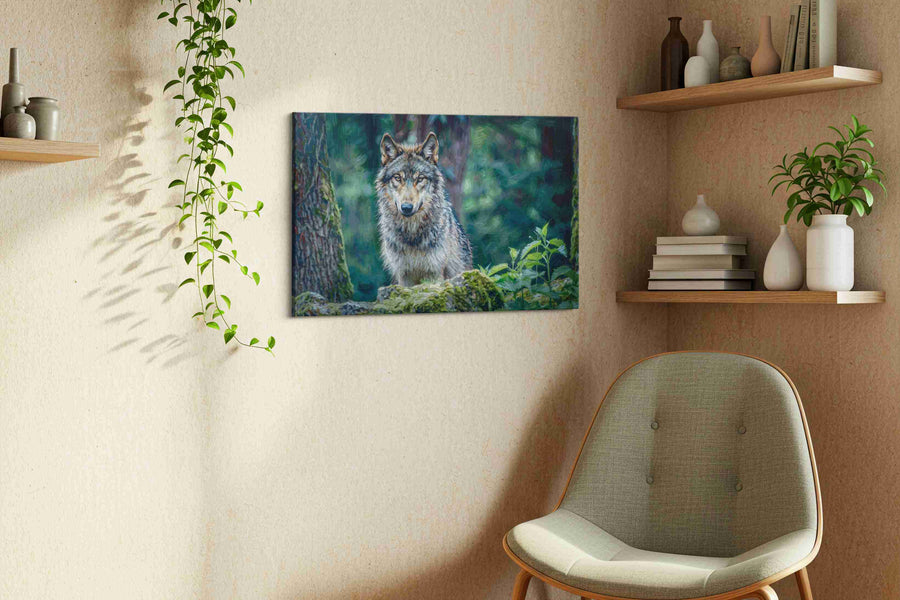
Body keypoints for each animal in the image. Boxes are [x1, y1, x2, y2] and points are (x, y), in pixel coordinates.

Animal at [375, 131, 473, 287]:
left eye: (420, 179)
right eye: (397, 178)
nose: (406, 207)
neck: (412, 235)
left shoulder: (434, 273)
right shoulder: (404, 275)